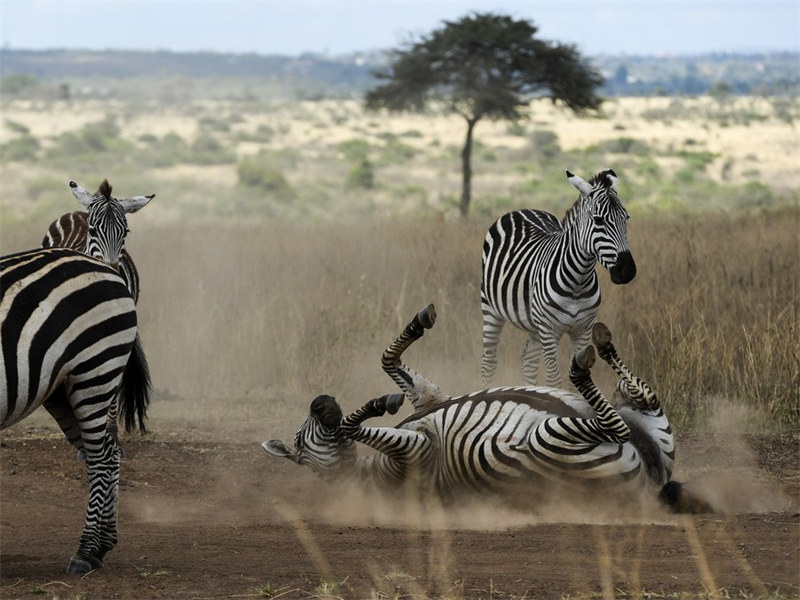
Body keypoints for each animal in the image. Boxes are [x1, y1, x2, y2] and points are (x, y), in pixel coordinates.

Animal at [0, 246, 151, 576]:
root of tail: (107, 268)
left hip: (95, 370)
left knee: (102, 459)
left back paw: (85, 551)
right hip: (63, 390)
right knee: (109, 453)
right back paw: (101, 546)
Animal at [266, 304, 708, 516]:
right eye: (300, 442)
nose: (321, 402)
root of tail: (651, 486)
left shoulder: (431, 397)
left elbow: (388, 360)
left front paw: (418, 326)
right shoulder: (419, 452)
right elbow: (350, 427)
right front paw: (367, 408)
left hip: (651, 427)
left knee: (639, 398)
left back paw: (601, 344)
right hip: (551, 440)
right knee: (613, 425)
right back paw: (582, 365)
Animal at [482, 166, 636, 386]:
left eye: (627, 218)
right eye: (598, 220)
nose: (628, 270)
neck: (577, 283)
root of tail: (522, 210)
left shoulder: (582, 330)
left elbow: (576, 375)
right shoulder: (549, 332)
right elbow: (554, 380)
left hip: (534, 325)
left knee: (528, 363)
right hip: (490, 309)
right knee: (488, 363)